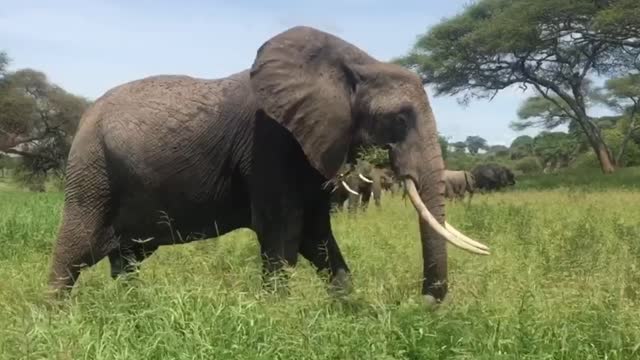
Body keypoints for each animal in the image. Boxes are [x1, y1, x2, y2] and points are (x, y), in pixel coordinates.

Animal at [47, 24, 490, 304]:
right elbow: (283, 236)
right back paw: (56, 320)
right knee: (74, 250)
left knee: (126, 260)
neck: (357, 64)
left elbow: (317, 238)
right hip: (92, 171)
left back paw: (137, 312)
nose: (422, 306)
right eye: (398, 119)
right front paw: (278, 319)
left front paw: (349, 311)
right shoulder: (270, 143)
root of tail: (84, 116)